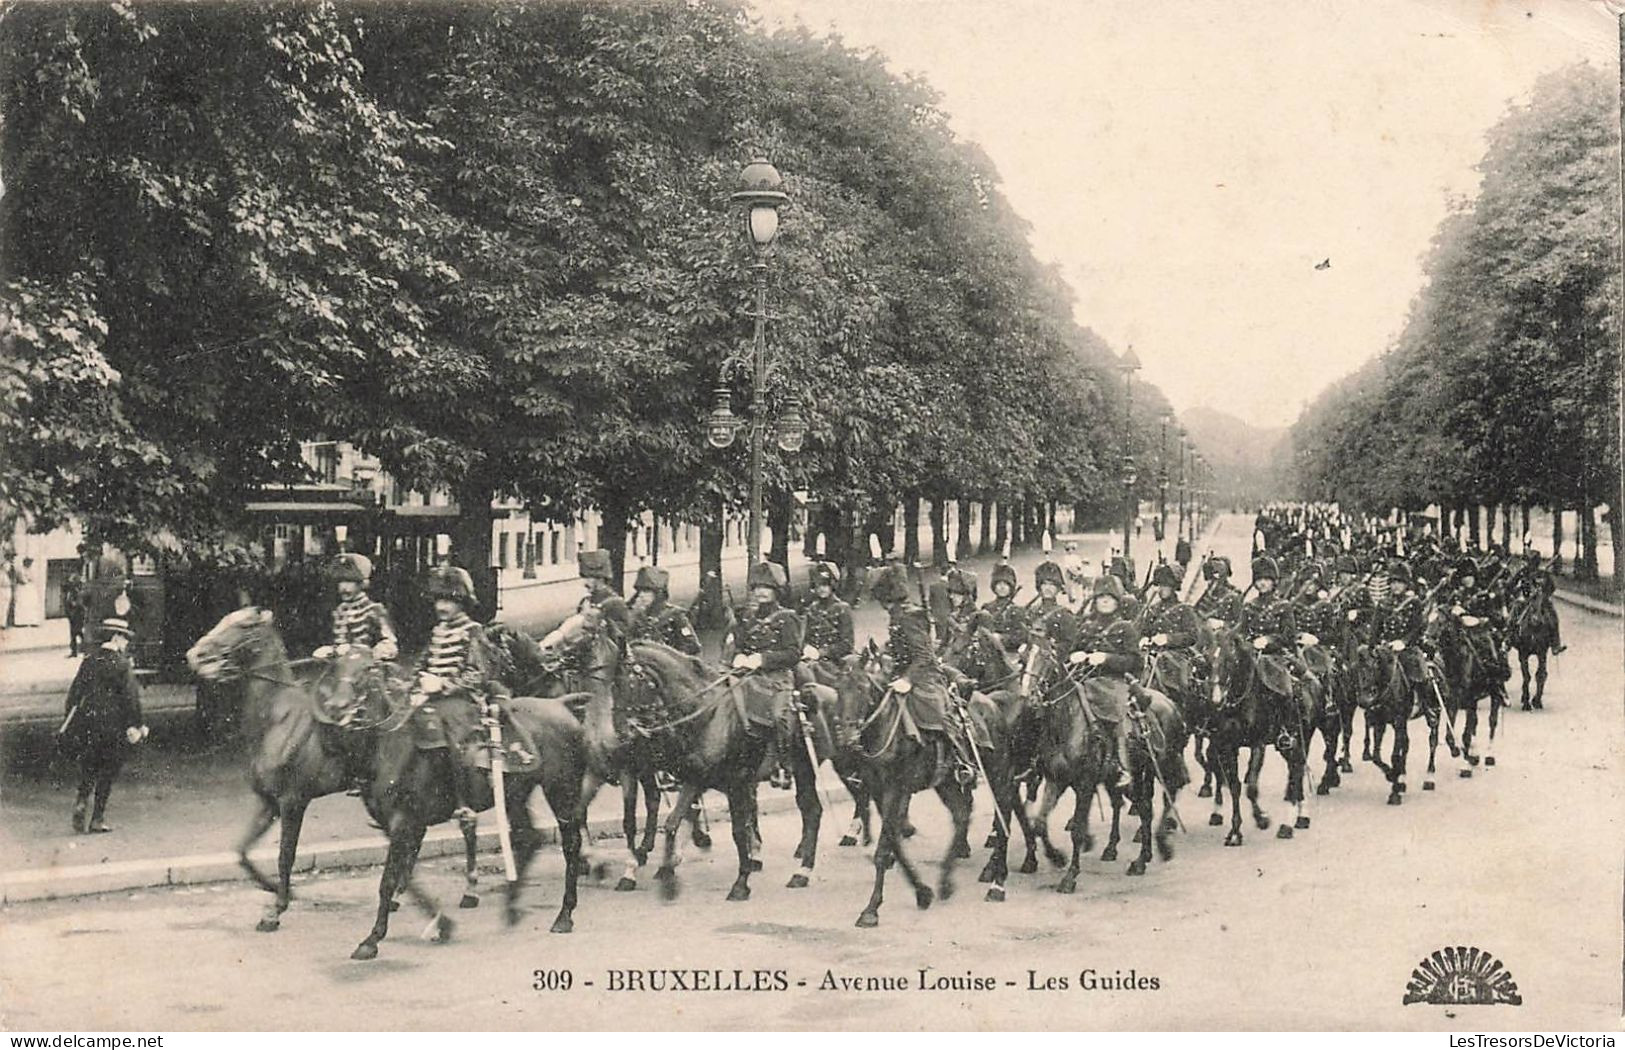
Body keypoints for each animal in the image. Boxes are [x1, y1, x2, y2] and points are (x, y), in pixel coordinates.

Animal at [186, 607, 481, 936]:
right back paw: (404, 894)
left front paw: (277, 908)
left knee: (464, 829)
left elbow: (285, 855)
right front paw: (278, 892)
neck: (277, 721)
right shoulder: (268, 802)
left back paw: (468, 892)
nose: (195, 655)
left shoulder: (293, 802)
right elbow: (242, 852)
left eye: (243, 625)